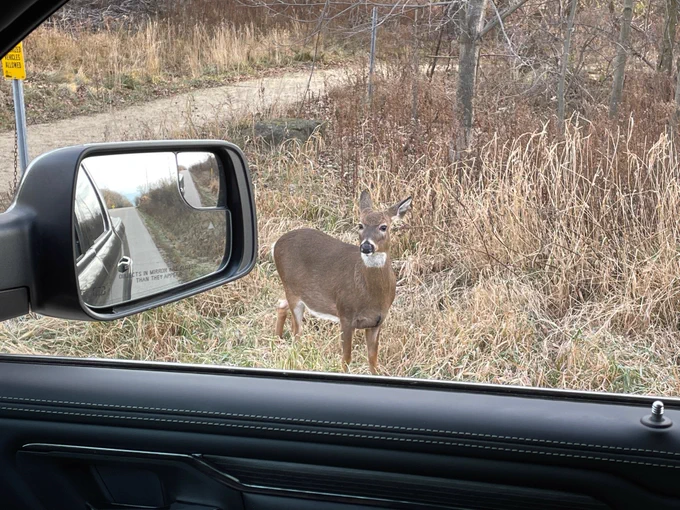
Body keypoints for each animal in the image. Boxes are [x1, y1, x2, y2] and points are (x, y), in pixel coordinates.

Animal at [272, 190, 412, 375]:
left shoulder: (378, 321)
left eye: (383, 227)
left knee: (281, 305)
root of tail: (276, 244)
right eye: (360, 225)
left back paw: (277, 340)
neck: (370, 295)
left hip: (294, 291)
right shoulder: (345, 314)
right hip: (292, 290)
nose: (366, 247)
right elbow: (346, 359)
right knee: (297, 332)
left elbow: (373, 359)